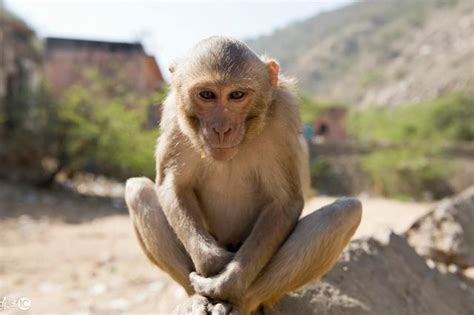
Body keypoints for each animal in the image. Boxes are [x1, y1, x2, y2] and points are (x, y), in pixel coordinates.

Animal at [124, 35, 362, 314]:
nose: (221, 129)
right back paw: (196, 298)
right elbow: (172, 186)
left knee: (346, 212)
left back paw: (239, 300)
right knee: (137, 189)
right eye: (207, 95)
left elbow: (284, 202)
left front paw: (227, 281)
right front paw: (212, 262)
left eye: (236, 95)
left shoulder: (283, 114)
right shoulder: (174, 114)